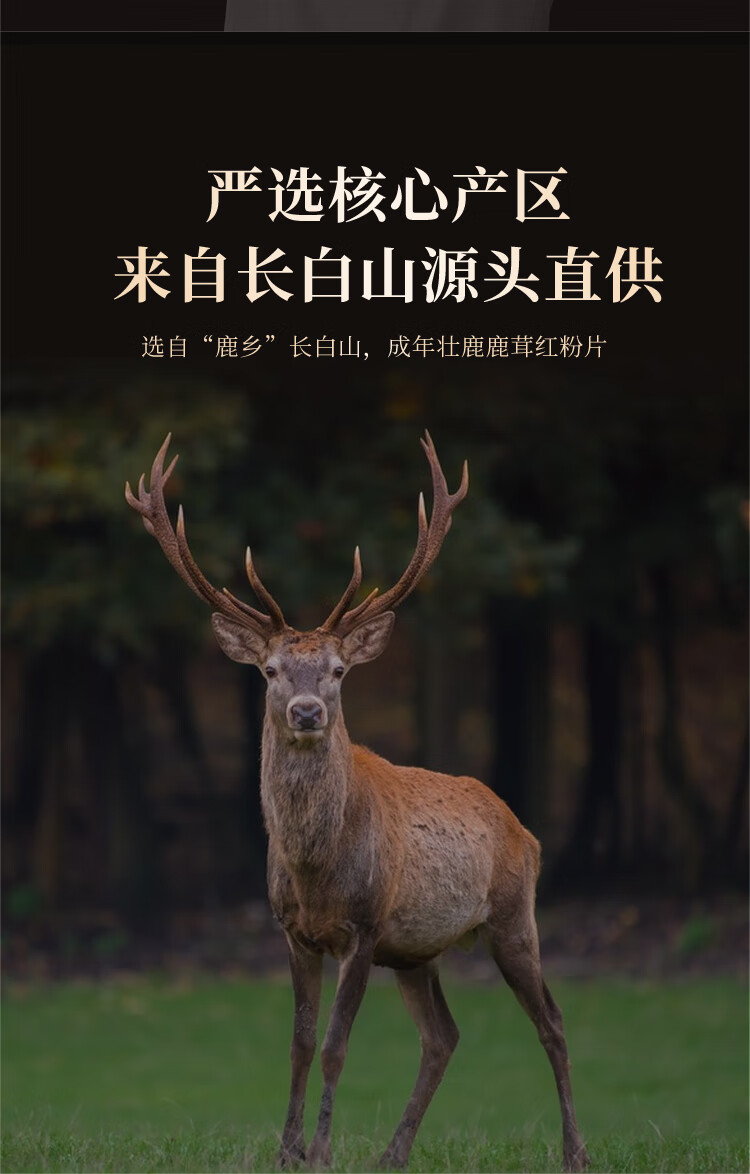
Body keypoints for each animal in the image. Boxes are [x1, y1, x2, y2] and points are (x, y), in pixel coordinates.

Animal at [125, 432, 589, 1173]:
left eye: (338, 671)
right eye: (270, 670)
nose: (308, 711)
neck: (316, 871)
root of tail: (526, 830)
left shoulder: (364, 928)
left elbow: (337, 1047)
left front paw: (319, 1150)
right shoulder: (293, 931)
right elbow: (298, 1042)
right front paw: (286, 1150)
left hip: (513, 915)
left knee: (552, 1019)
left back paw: (575, 1151)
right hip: (418, 951)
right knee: (444, 1036)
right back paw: (394, 1153)